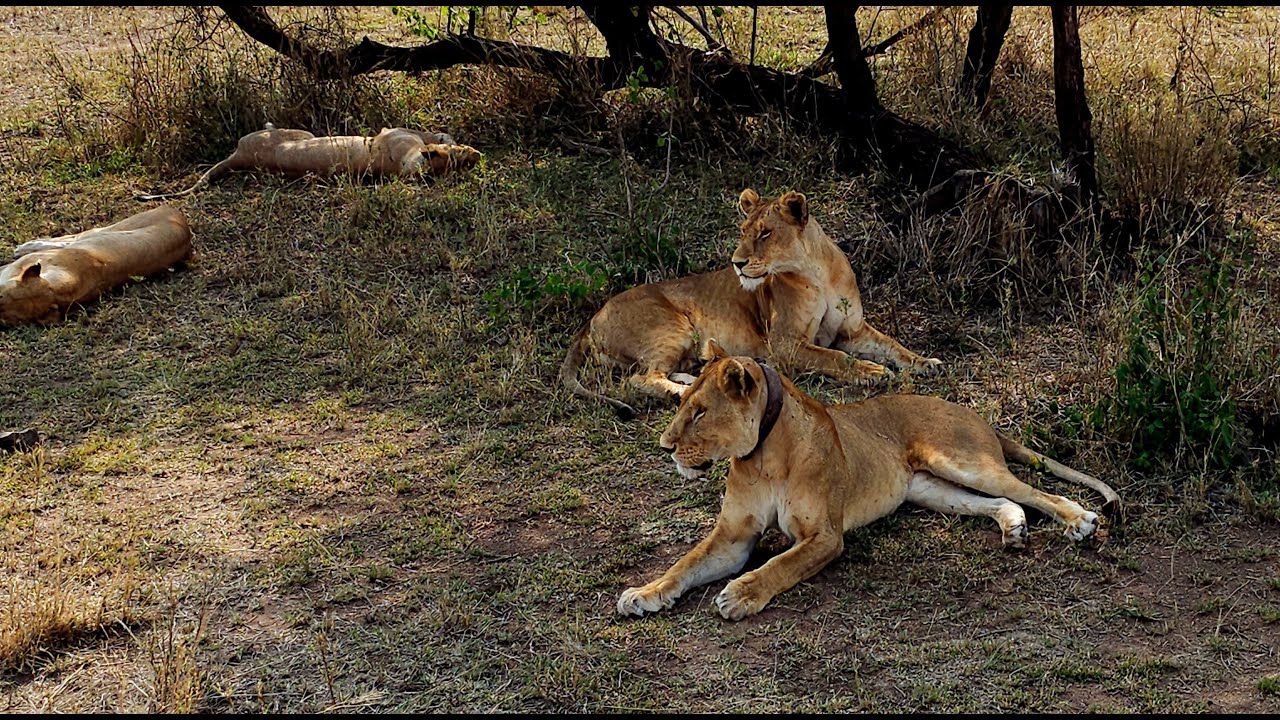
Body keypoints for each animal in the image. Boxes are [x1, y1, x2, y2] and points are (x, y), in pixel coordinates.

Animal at [562, 188, 941, 419]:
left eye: (765, 232)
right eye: (743, 230)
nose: (737, 263)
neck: (817, 272)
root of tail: (591, 319)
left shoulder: (853, 331)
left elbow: (892, 346)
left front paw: (926, 363)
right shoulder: (784, 345)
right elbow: (835, 358)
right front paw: (872, 372)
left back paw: (697, 375)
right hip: (672, 328)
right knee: (639, 378)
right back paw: (682, 393)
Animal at [616, 340, 1121, 621]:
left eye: (700, 412)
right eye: (683, 402)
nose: (664, 446)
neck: (763, 457)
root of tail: (971, 412)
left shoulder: (825, 536)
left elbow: (778, 565)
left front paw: (741, 593)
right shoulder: (733, 536)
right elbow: (685, 564)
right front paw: (643, 594)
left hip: (964, 461)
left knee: (1035, 491)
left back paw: (1080, 521)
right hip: (930, 488)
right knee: (999, 502)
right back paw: (1014, 529)